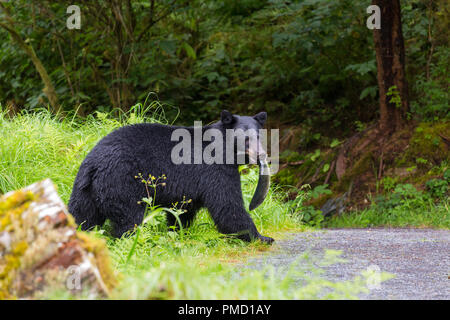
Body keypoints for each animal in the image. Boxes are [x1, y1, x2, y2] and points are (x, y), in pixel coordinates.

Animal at [68, 110, 272, 242]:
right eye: (245, 138)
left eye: (259, 136)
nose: (261, 154)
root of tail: (94, 164)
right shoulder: (215, 169)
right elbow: (227, 205)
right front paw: (261, 237)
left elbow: (183, 209)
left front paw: (180, 232)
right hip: (123, 183)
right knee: (128, 220)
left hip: (84, 191)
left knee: (81, 216)